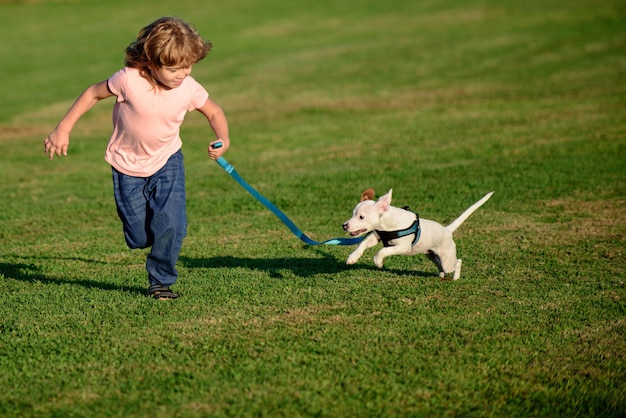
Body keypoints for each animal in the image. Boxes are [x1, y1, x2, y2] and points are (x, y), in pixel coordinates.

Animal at [342, 189, 492, 280]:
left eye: (361, 217)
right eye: (353, 214)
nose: (344, 225)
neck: (389, 223)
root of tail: (447, 230)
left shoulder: (404, 247)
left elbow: (382, 251)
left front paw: (378, 262)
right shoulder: (376, 236)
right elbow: (362, 244)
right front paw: (353, 258)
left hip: (447, 259)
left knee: (457, 262)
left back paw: (455, 278)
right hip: (431, 255)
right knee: (440, 265)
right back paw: (441, 275)